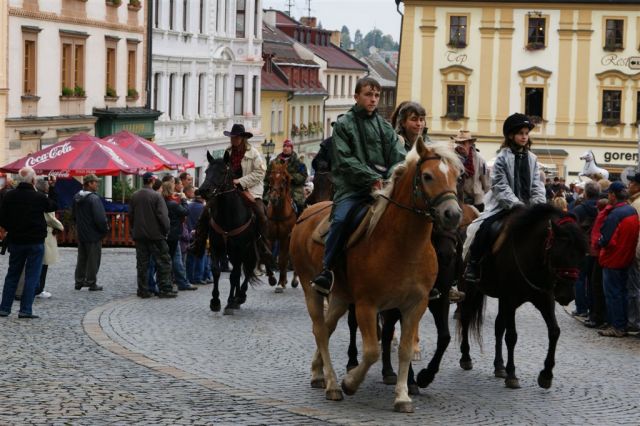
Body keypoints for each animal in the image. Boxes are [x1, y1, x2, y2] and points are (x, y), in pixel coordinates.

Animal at [196, 151, 258, 314]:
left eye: (222, 172)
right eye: (206, 171)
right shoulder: (216, 246)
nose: (203, 190)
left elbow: (234, 275)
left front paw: (231, 301)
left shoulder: (240, 248)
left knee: (247, 269)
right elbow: (216, 271)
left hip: (249, 250)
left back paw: (239, 296)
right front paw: (215, 301)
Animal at [264, 161, 298, 292]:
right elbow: (269, 255)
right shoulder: (270, 237)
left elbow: (283, 259)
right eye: (270, 178)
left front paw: (279, 283)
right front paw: (272, 279)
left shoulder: (285, 238)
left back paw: (293, 280)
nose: (273, 198)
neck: (278, 214)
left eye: (283, 180)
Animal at [288, 138, 462, 412]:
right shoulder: (367, 305)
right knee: (320, 330)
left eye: (457, 176)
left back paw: (318, 373)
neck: (403, 245)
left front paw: (403, 396)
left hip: (340, 296)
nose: (452, 214)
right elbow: (371, 351)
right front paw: (350, 382)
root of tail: (307, 212)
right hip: (311, 288)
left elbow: (404, 349)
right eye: (427, 176)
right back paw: (333, 384)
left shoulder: (416, 304)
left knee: (326, 328)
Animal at [458, 204, 588, 390]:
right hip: (469, 289)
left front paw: (546, 374)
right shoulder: (511, 299)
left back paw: (499, 366)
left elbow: (554, 331)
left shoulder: (544, 299)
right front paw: (512, 374)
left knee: (498, 326)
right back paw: (466, 357)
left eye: (582, 254)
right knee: (466, 317)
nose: (566, 295)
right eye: (559, 253)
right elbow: (512, 336)